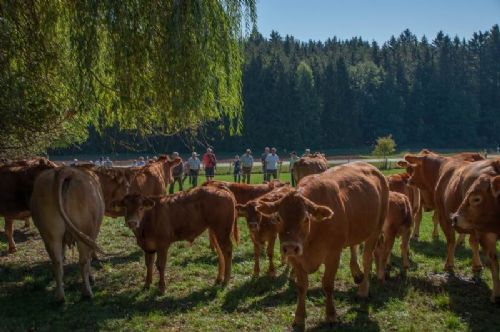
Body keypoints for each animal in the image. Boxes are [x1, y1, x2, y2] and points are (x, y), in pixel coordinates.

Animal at [30, 167, 104, 302]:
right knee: (83, 261)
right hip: (85, 231)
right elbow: (89, 258)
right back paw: (87, 293)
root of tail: (65, 170)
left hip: (50, 235)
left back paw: (60, 296)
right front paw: (91, 276)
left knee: (57, 262)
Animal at [254, 162, 386, 326]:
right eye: (278, 218)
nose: (290, 247)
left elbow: (328, 284)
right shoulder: (296, 259)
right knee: (354, 246)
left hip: (376, 229)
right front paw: (299, 316)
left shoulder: (333, 255)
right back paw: (356, 272)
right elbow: (301, 286)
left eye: (306, 219)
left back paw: (363, 289)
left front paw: (331, 314)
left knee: (367, 258)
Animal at [404, 154, 498, 302]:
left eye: (414, 168)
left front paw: (449, 265)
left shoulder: (445, 216)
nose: (409, 180)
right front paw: (476, 266)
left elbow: (451, 240)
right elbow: (472, 242)